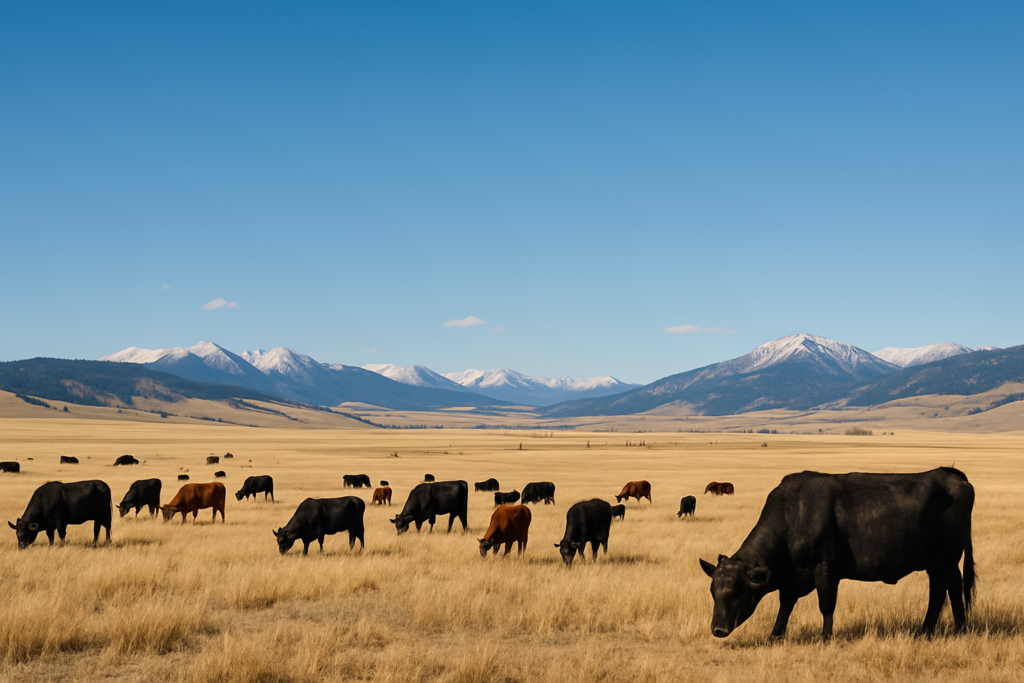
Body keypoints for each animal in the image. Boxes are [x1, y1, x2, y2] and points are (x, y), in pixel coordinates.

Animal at [700, 468, 975, 641]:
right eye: (713, 592)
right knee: (938, 592)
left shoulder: (825, 571)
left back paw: (961, 629)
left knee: (953, 587)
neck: (794, 515)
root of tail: (949, 474)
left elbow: (826, 606)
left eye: (738, 592)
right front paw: (775, 634)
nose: (718, 629)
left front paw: (826, 637)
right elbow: (785, 605)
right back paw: (926, 631)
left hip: (948, 560)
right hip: (935, 564)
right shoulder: (792, 578)